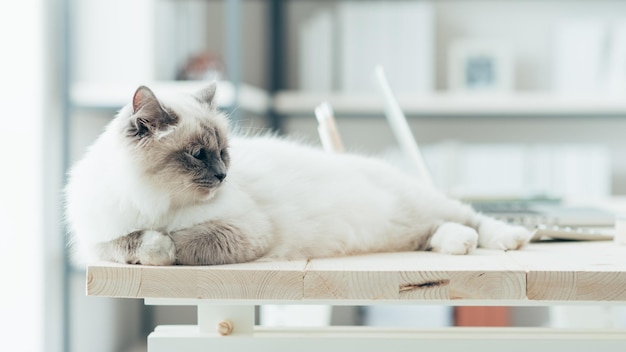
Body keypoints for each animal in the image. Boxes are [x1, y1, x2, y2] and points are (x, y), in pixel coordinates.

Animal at [66, 83, 528, 264]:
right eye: (198, 155)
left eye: (223, 153)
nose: (223, 177)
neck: (157, 202)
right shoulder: (97, 245)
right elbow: (135, 243)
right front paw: (154, 246)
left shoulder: (242, 230)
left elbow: (183, 241)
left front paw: (166, 246)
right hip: (406, 227)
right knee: (434, 232)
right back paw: (458, 245)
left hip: (419, 203)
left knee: (472, 218)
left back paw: (509, 238)